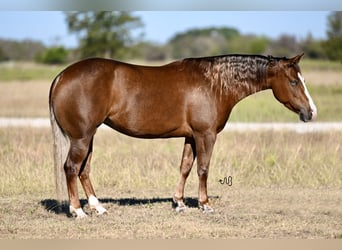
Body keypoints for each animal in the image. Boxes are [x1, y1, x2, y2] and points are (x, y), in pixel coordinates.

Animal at [49, 53, 316, 218]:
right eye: (293, 81)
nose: (311, 112)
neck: (214, 84)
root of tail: (62, 76)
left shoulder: (191, 137)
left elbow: (185, 167)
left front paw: (179, 203)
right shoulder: (205, 135)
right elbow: (203, 169)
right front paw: (205, 205)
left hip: (89, 137)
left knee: (84, 170)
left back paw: (98, 207)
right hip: (82, 138)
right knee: (71, 168)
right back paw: (78, 211)